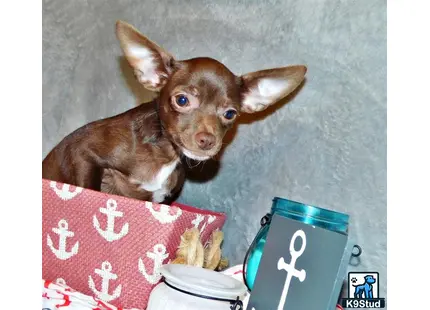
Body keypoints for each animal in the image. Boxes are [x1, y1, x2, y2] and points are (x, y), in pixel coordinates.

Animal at [42, 20, 308, 203]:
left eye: (230, 114)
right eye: (182, 100)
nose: (207, 140)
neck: (164, 153)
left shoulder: (161, 198)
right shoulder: (83, 153)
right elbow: (88, 187)